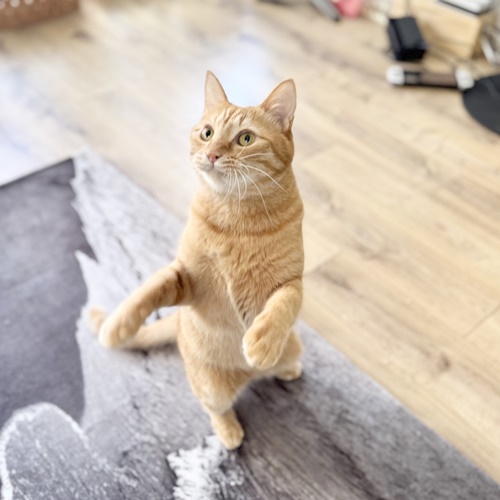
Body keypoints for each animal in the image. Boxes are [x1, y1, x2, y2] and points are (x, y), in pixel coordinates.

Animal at [89, 71, 304, 450]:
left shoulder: (292, 281)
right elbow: (147, 290)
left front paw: (261, 342)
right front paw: (118, 324)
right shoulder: (186, 278)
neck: (238, 218)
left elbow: (283, 304)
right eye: (207, 132)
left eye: (245, 138)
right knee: (215, 407)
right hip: (210, 386)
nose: (213, 154)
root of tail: (247, 378)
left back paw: (282, 368)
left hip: (293, 346)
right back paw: (230, 433)